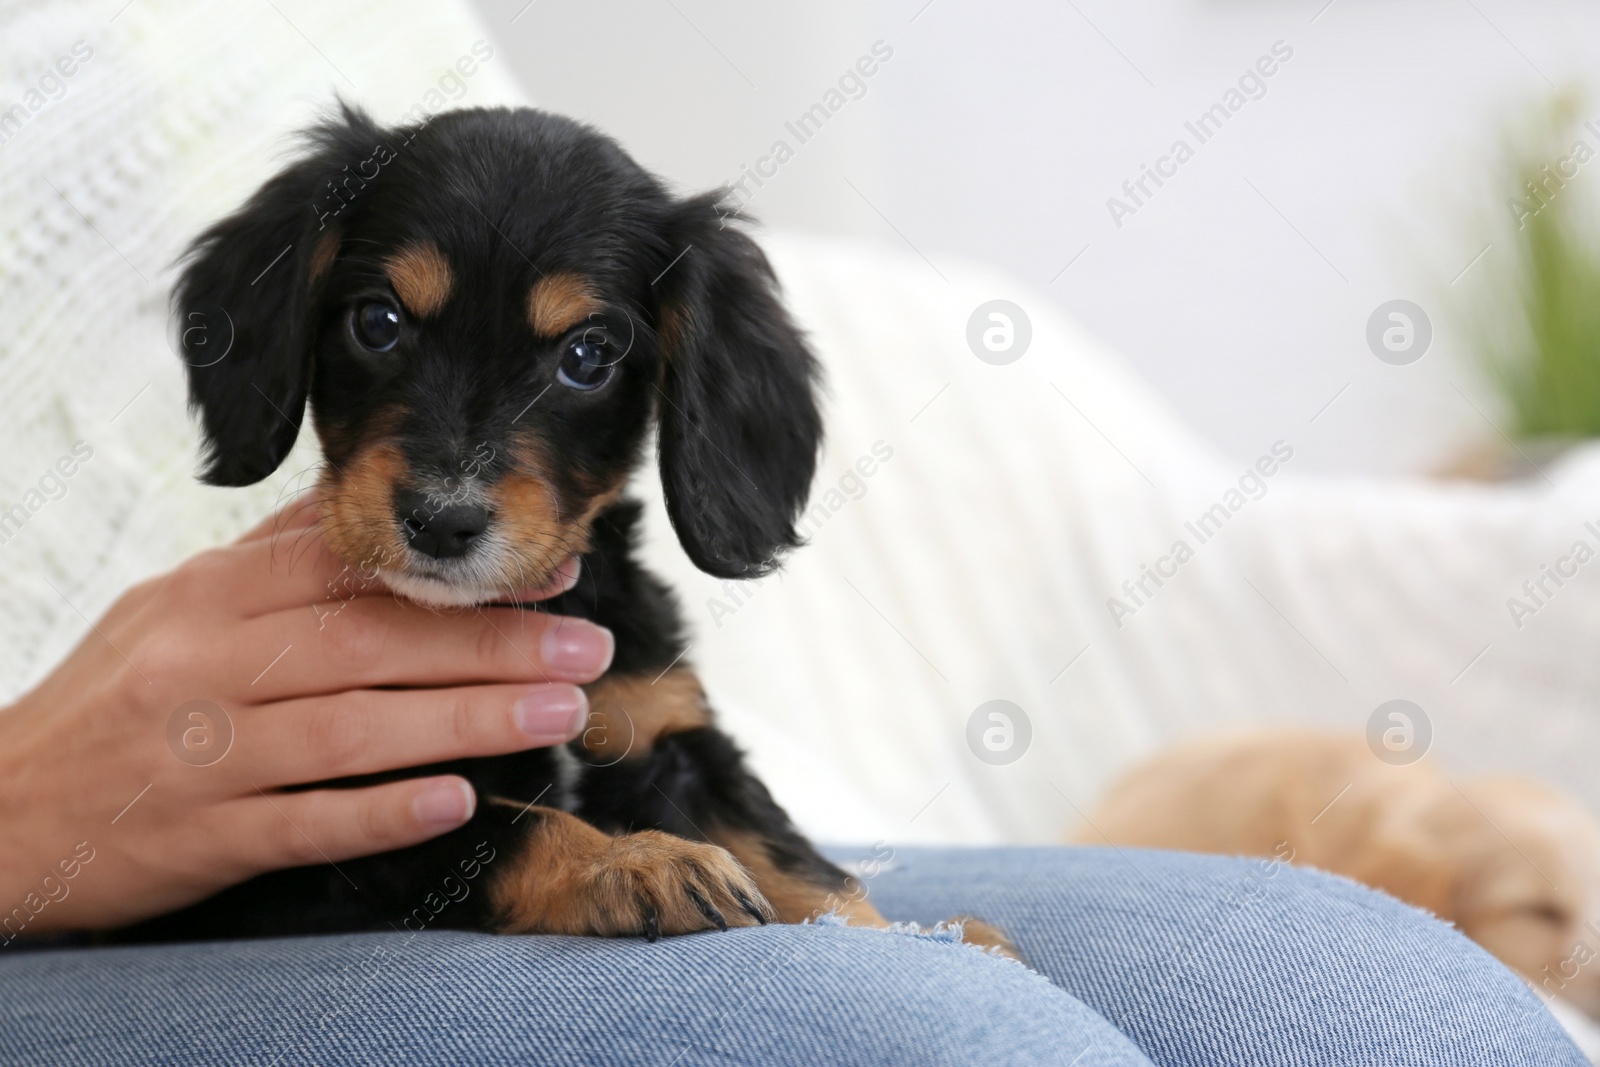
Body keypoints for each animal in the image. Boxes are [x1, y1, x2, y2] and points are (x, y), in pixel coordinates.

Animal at [116, 106, 1011, 959]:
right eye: (377, 321)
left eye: (587, 356)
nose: (442, 520)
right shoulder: (359, 810)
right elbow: (508, 823)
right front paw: (633, 860)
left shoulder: (671, 734)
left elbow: (798, 862)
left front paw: (916, 939)